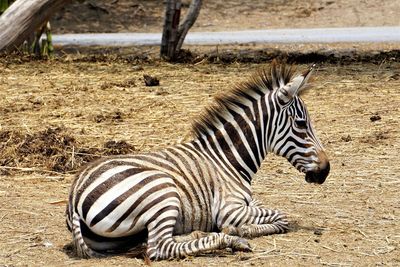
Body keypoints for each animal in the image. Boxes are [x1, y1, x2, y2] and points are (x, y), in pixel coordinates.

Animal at [65, 61, 328, 260]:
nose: (326, 170)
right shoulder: (230, 209)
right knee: (159, 247)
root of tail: (74, 198)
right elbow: (281, 217)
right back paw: (230, 240)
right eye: (301, 124)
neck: (226, 159)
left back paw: (199, 234)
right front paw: (241, 230)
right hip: (163, 191)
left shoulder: (247, 201)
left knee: (154, 241)